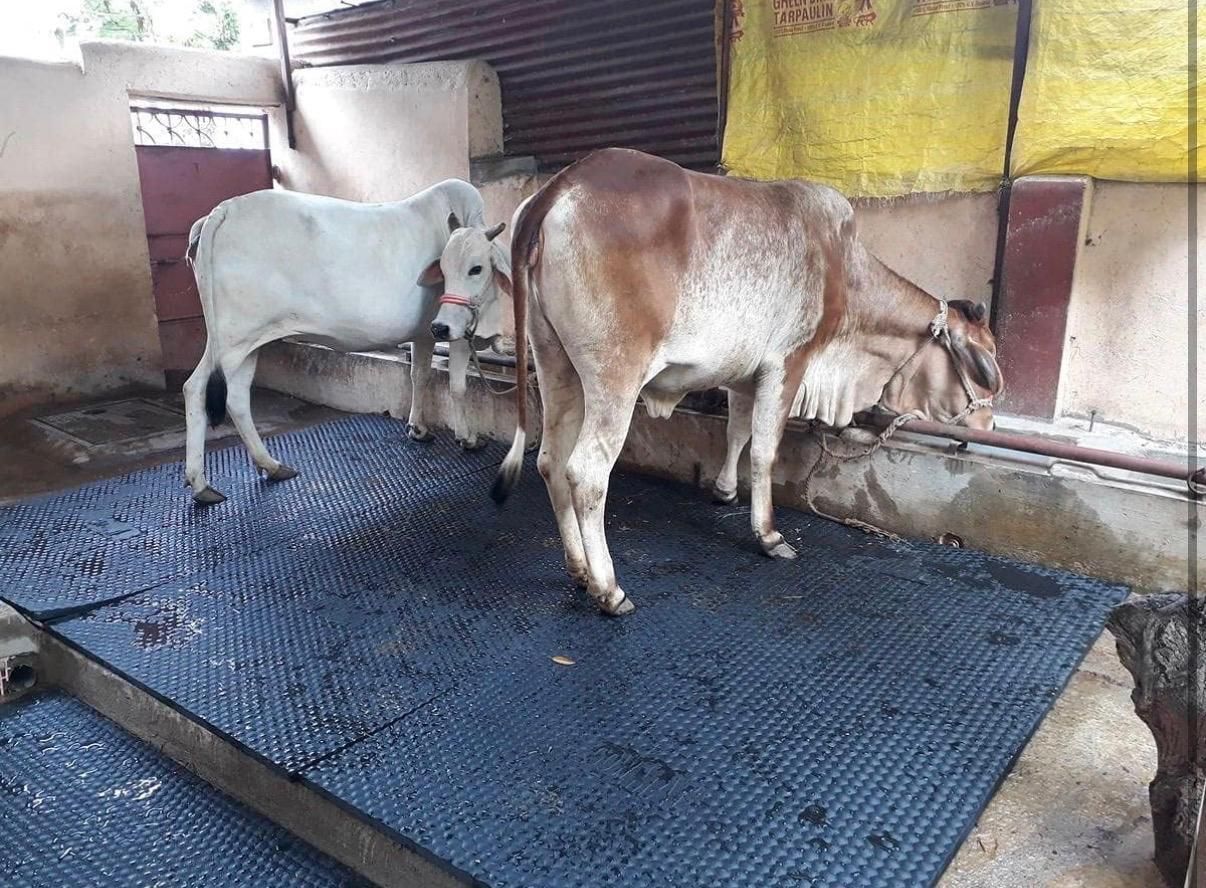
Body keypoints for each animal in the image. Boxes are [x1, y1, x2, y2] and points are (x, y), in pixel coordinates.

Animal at [182, 180, 510, 505]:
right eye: (446, 269)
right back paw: (200, 483)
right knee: (196, 388)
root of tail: (224, 209)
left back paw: (270, 466)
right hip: (231, 339)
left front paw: (418, 428)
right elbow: (457, 386)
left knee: (236, 397)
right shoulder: (456, 332)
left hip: (248, 343)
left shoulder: (426, 333)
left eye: (477, 268)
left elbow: (419, 375)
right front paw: (468, 438)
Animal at [481, 148, 1003, 616]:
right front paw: (768, 534)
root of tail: (561, 184)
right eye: (984, 367)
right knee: (587, 472)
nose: (988, 428)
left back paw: (579, 570)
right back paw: (609, 589)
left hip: (555, 364)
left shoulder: (742, 373)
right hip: (615, 376)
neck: (845, 274)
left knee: (550, 461)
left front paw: (725, 490)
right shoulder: (788, 362)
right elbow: (764, 450)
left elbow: (737, 432)